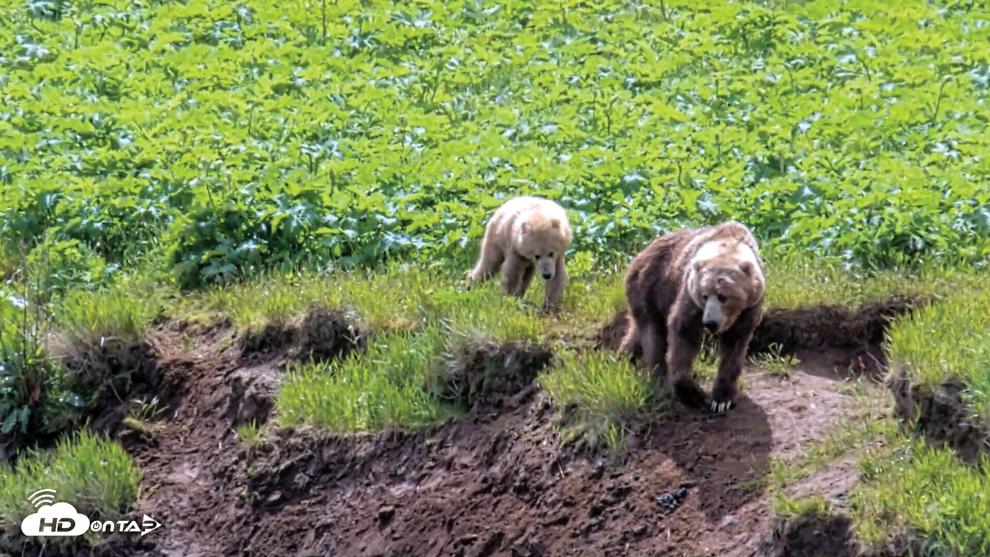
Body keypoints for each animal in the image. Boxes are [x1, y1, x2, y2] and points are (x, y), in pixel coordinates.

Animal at [620, 221, 764, 413]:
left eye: (723, 296)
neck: (728, 245)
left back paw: (624, 357)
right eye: (704, 295)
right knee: (653, 335)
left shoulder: (749, 308)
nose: (710, 322)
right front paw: (693, 394)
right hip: (650, 287)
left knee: (637, 332)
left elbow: (734, 347)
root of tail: (641, 252)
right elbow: (683, 334)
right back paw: (658, 381)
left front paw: (721, 400)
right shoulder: (690, 296)